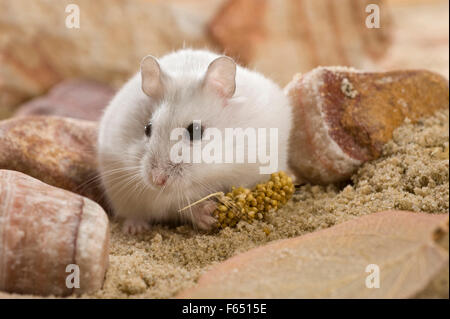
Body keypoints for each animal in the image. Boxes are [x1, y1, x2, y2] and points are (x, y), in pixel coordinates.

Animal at [98, 48, 292, 234]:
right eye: (147, 128)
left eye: (195, 131)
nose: (157, 180)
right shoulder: (159, 197)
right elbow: (181, 205)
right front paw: (208, 215)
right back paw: (134, 229)